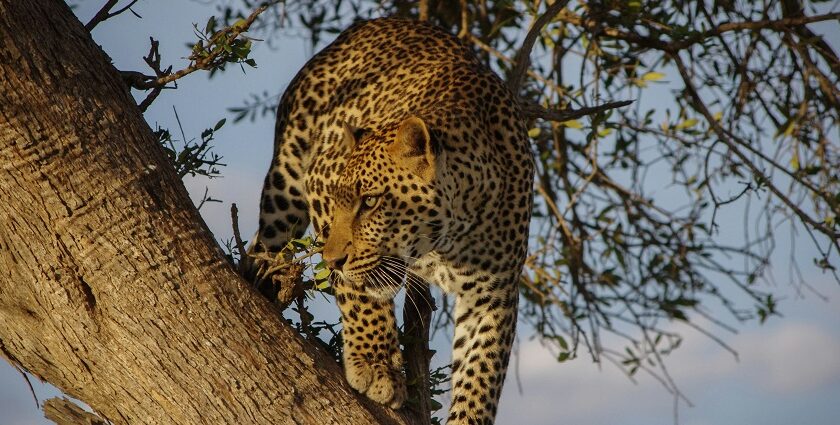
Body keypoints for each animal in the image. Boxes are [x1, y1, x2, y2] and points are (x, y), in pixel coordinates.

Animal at [253, 17, 536, 424]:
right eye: (340, 201)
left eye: (370, 202)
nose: (332, 261)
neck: (447, 239)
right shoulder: (319, 180)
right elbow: (358, 294)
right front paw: (375, 366)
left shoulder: (494, 293)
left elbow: (481, 375)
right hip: (286, 184)